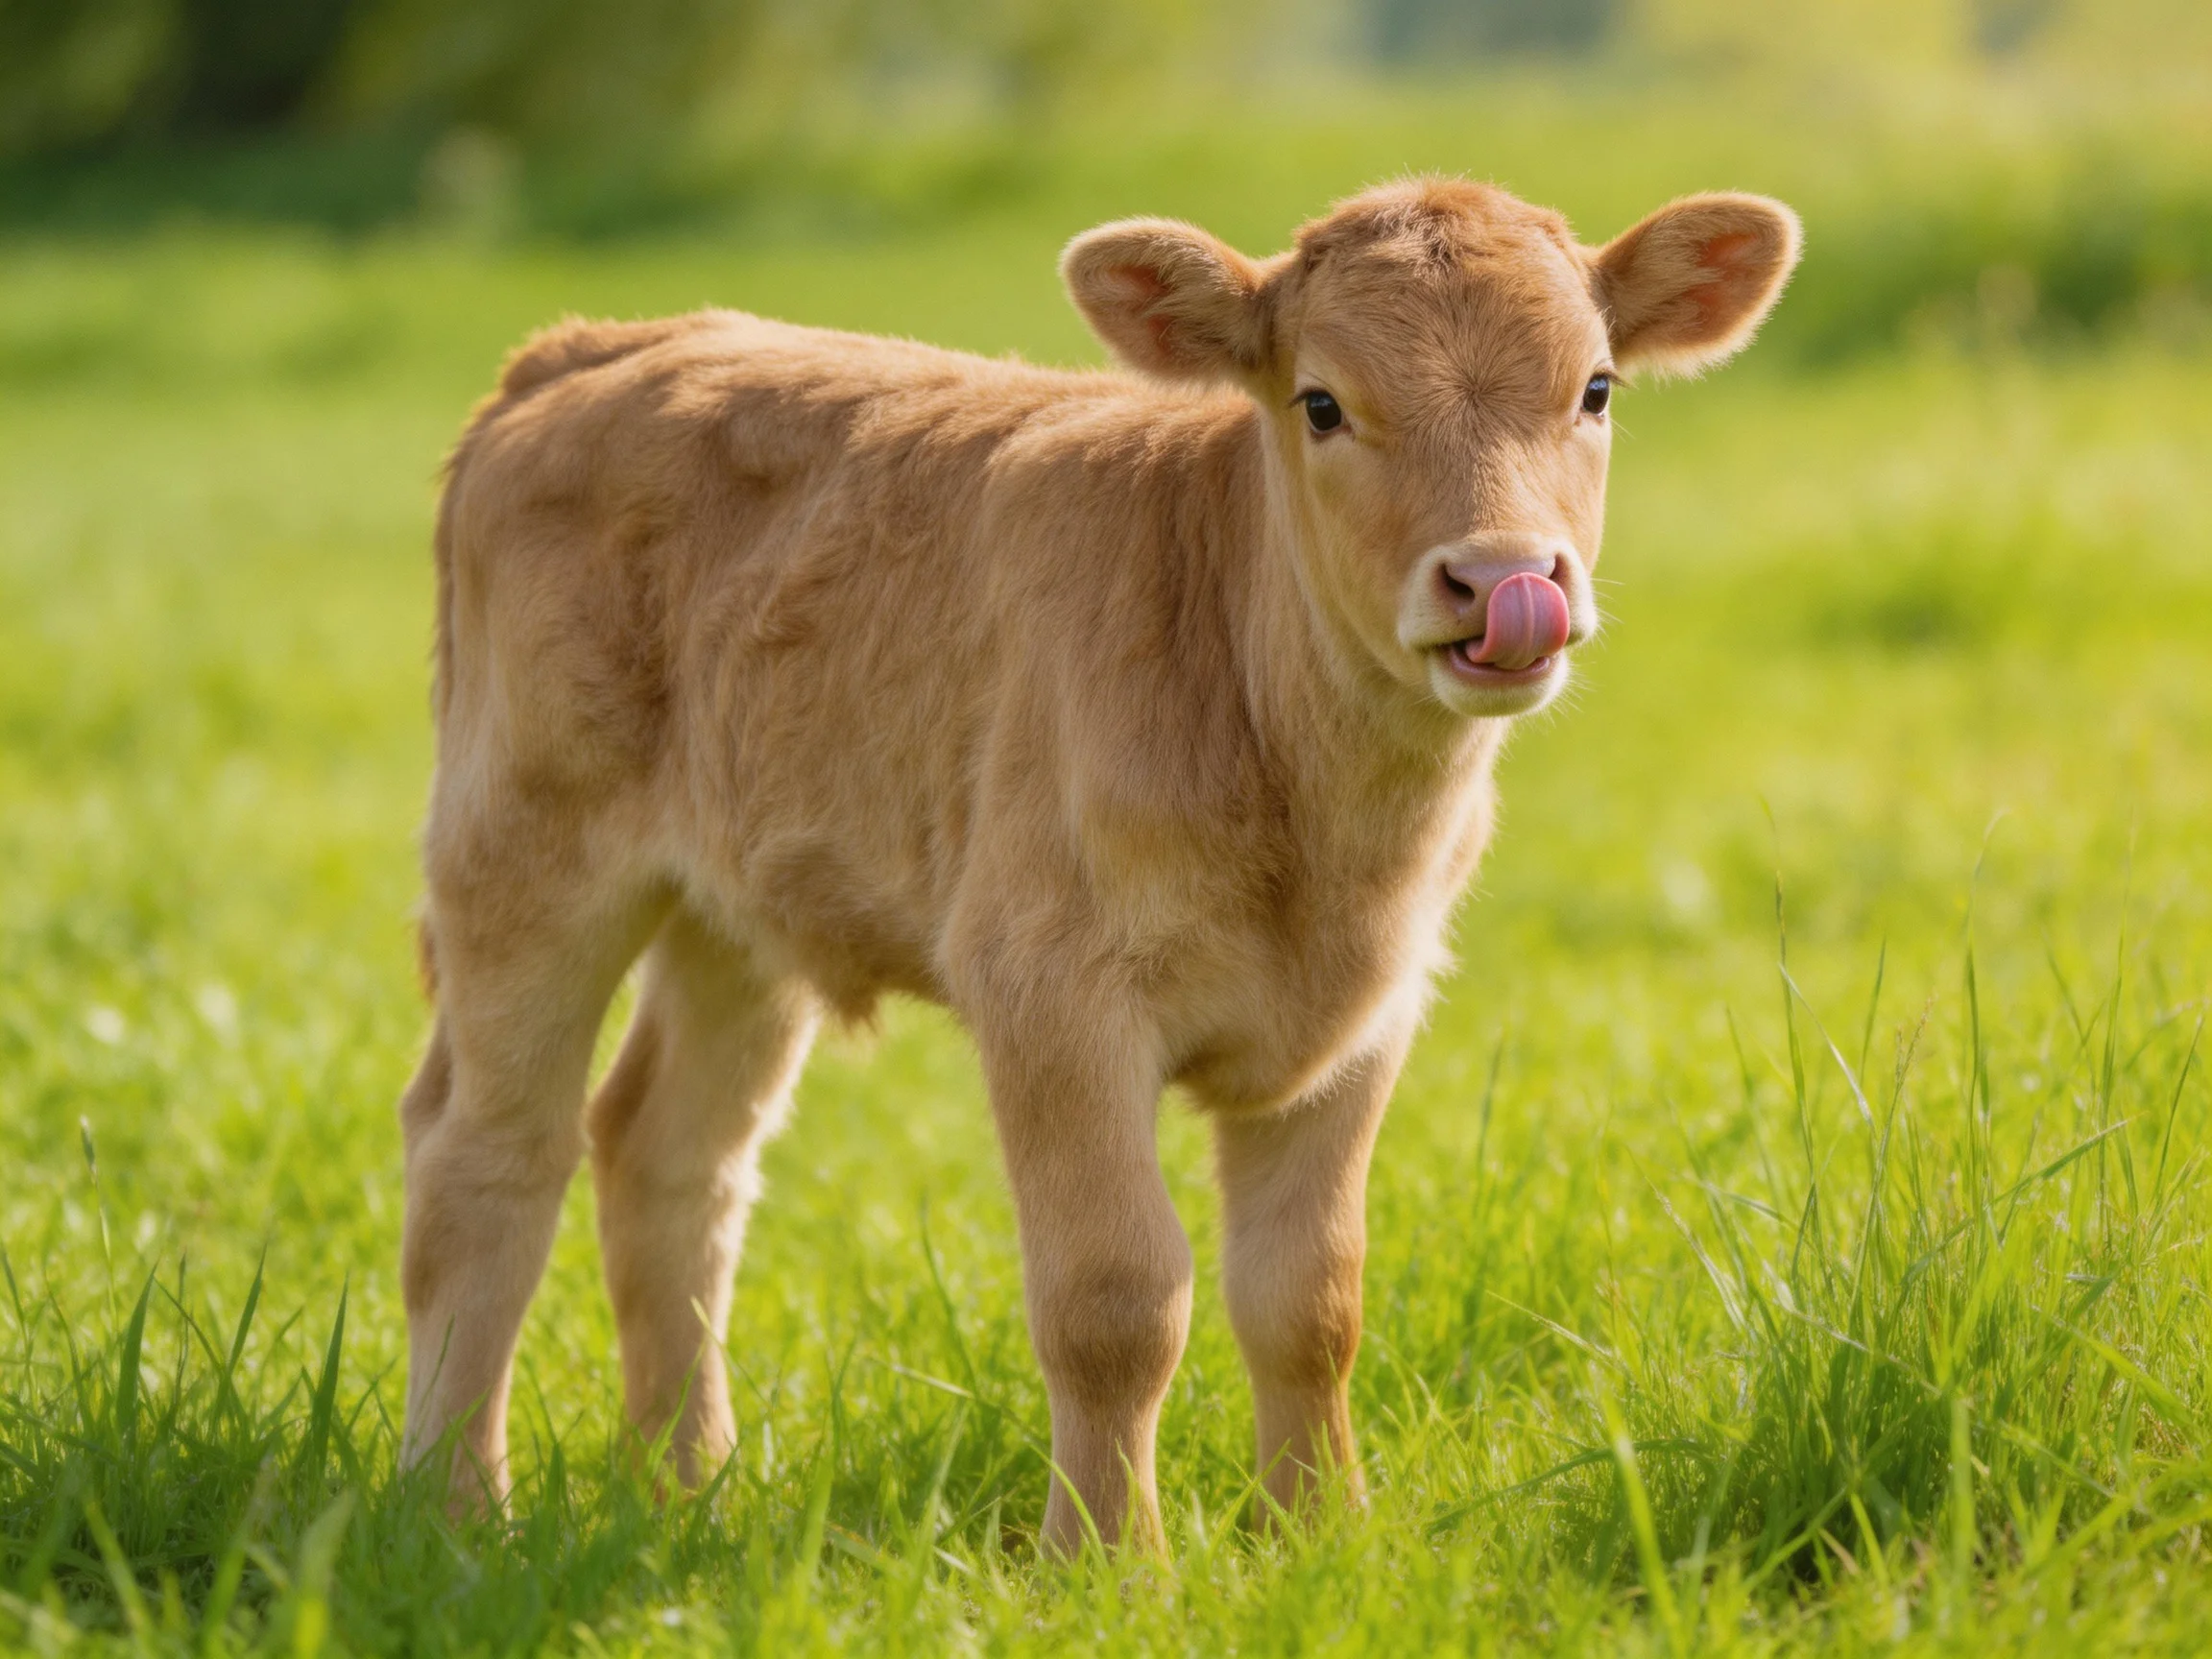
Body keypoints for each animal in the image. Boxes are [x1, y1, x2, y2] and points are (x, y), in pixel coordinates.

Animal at [395, 176, 1799, 1554]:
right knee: (484, 1160)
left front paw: (1321, 1538)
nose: (1504, 579)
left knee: (667, 1158)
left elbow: (1310, 1297)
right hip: (522, 852)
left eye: (1596, 389)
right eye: (1323, 403)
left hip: (736, 911)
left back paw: (691, 1489)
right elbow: (1116, 1298)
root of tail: (598, 346)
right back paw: (457, 1509)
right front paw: (1114, 1563)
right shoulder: (1048, 990)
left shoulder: (1368, 1013)